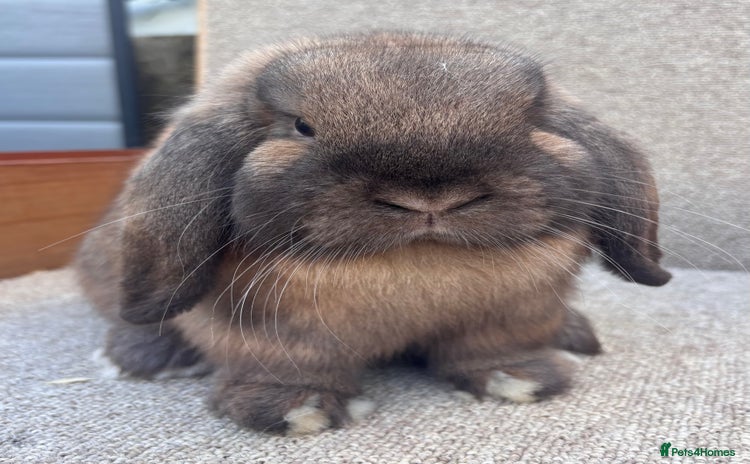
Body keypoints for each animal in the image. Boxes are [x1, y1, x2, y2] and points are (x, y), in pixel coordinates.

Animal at [75, 31, 671, 435]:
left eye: (530, 121)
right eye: (302, 127)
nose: (430, 199)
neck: (415, 268)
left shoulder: (513, 315)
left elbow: (495, 350)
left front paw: (522, 379)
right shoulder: (272, 337)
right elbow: (288, 367)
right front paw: (298, 411)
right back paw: (143, 357)